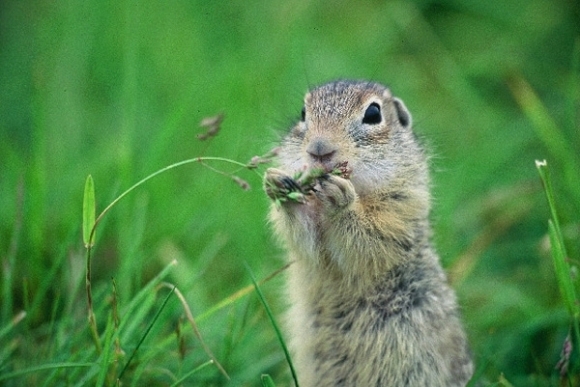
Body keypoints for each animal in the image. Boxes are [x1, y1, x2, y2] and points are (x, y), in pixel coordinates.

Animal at [266, 80, 474, 386]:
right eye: (303, 113)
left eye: (374, 114)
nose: (319, 149)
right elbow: (305, 242)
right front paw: (279, 184)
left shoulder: (401, 208)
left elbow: (372, 238)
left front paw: (341, 200)